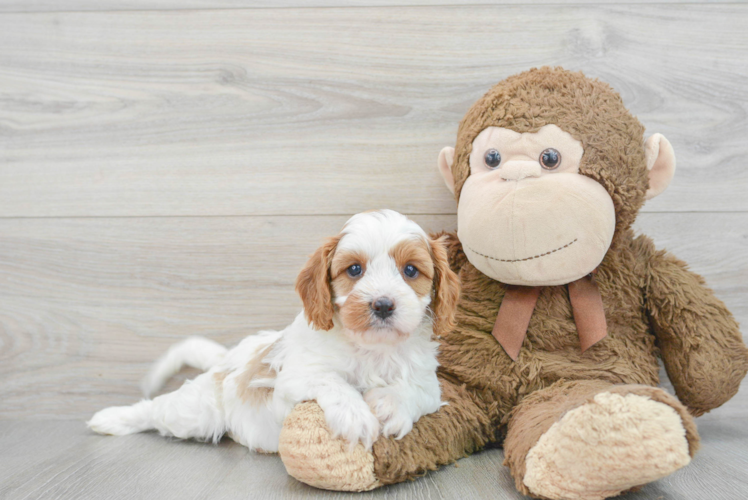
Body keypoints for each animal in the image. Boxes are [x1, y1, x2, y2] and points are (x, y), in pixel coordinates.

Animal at [87, 210, 462, 454]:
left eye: (410, 271)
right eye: (354, 269)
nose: (383, 305)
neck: (372, 349)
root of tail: (231, 355)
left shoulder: (430, 384)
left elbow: (417, 391)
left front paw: (390, 404)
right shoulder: (294, 378)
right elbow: (332, 380)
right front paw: (355, 416)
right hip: (197, 412)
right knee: (156, 409)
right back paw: (111, 419)